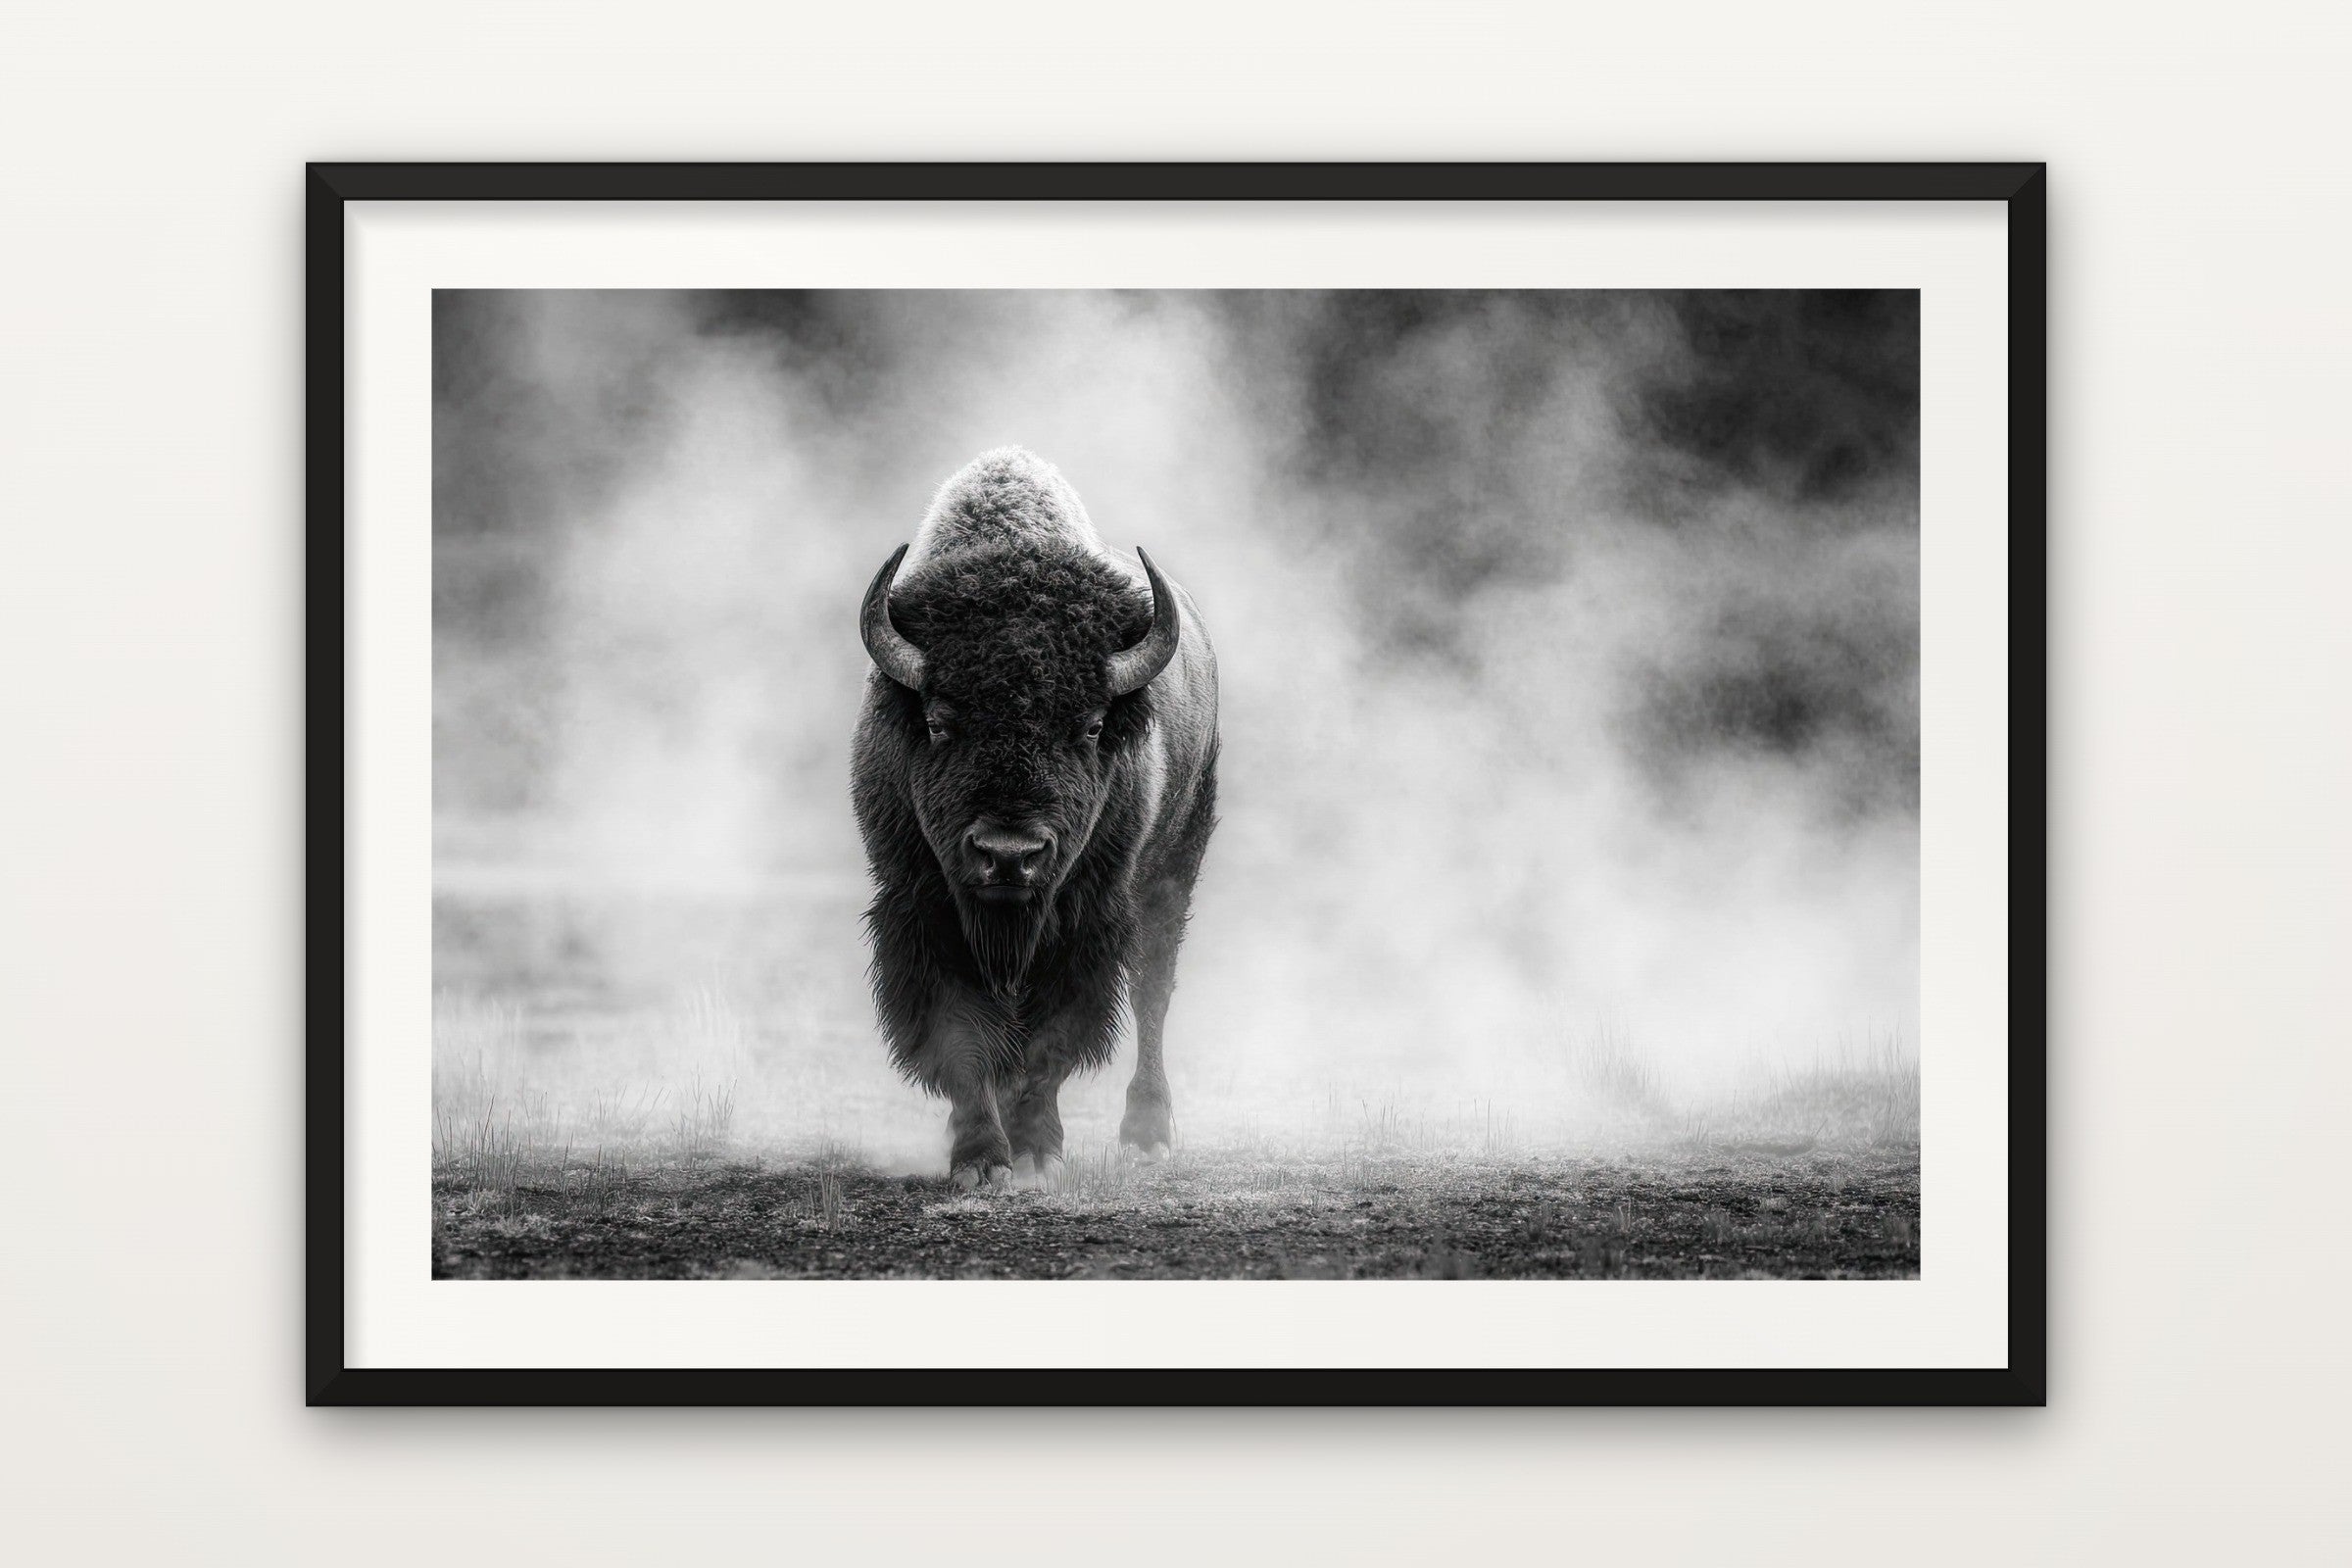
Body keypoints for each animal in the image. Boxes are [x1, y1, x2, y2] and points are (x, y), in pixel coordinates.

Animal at [851, 449, 1220, 1191]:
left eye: (1092, 726)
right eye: (938, 723)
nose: (1008, 854)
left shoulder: (1085, 921)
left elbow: (1054, 1039)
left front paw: (1035, 1153)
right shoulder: (922, 910)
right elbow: (961, 1033)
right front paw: (979, 1160)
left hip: (1174, 867)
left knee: (1154, 990)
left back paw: (1147, 1135)